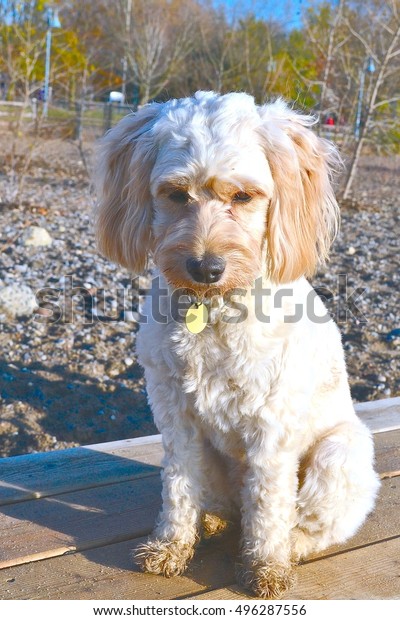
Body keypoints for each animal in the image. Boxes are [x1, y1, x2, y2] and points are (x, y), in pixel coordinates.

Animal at [95, 93, 380, 600]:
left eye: (244, 196)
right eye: (176, 193)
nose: (205, 267)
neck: (214, 311)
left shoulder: (272, 428)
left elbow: (268, 505)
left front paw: (265, 566)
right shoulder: (176, 418)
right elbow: (177, 487)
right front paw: (170, 546)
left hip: (341, 454)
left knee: (307, 522)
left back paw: (289, 548)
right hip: (217, 462)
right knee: (223, 506)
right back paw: (209, 521)